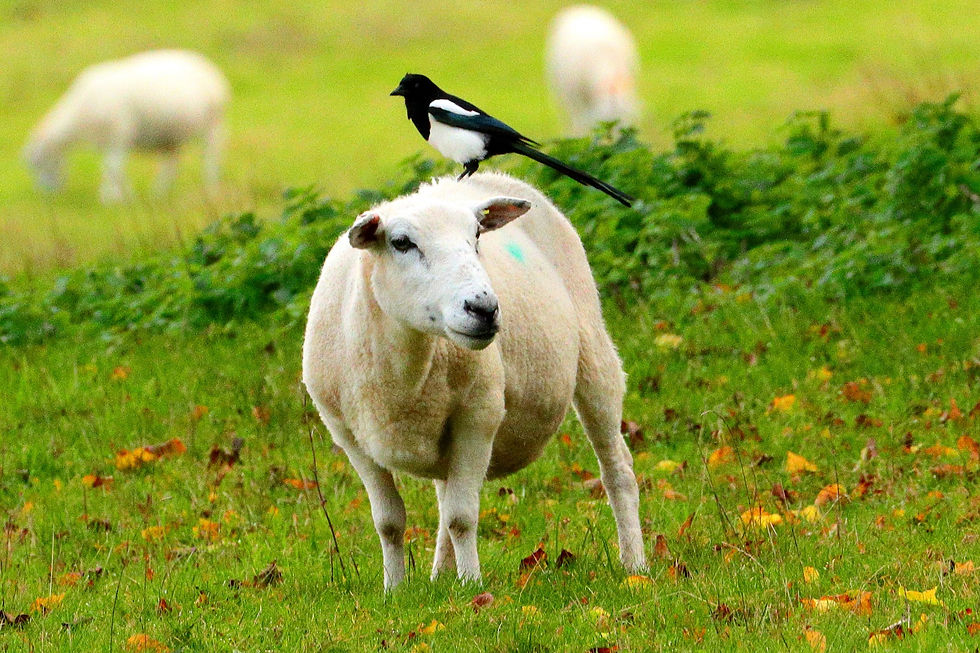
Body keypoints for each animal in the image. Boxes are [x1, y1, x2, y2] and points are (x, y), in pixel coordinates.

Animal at [23, 49, 230, 203]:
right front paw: (123, 195)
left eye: (37, 163)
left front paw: (111, 197)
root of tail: (210, 69)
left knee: (210, 156)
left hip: (213, 125)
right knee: (171, 164)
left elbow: (113, 167)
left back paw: (210, 186)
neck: (77, 118)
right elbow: (112, 169)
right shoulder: (107, 141)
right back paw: (159, 193)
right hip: (170, 135)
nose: (46, 194)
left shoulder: (118, 136)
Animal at [302, 171, 646, 590]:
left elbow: (461, 517)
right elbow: (389, 522)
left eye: (477, 236)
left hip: (594, 351)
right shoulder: (348, 436)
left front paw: (471, 587)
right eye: (401, 243)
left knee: (617, 469)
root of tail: (493, 175)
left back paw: (635, 564)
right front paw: (395, 589)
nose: (484, 308)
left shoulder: (478, 416)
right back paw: (439, 575)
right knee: (444, 493)